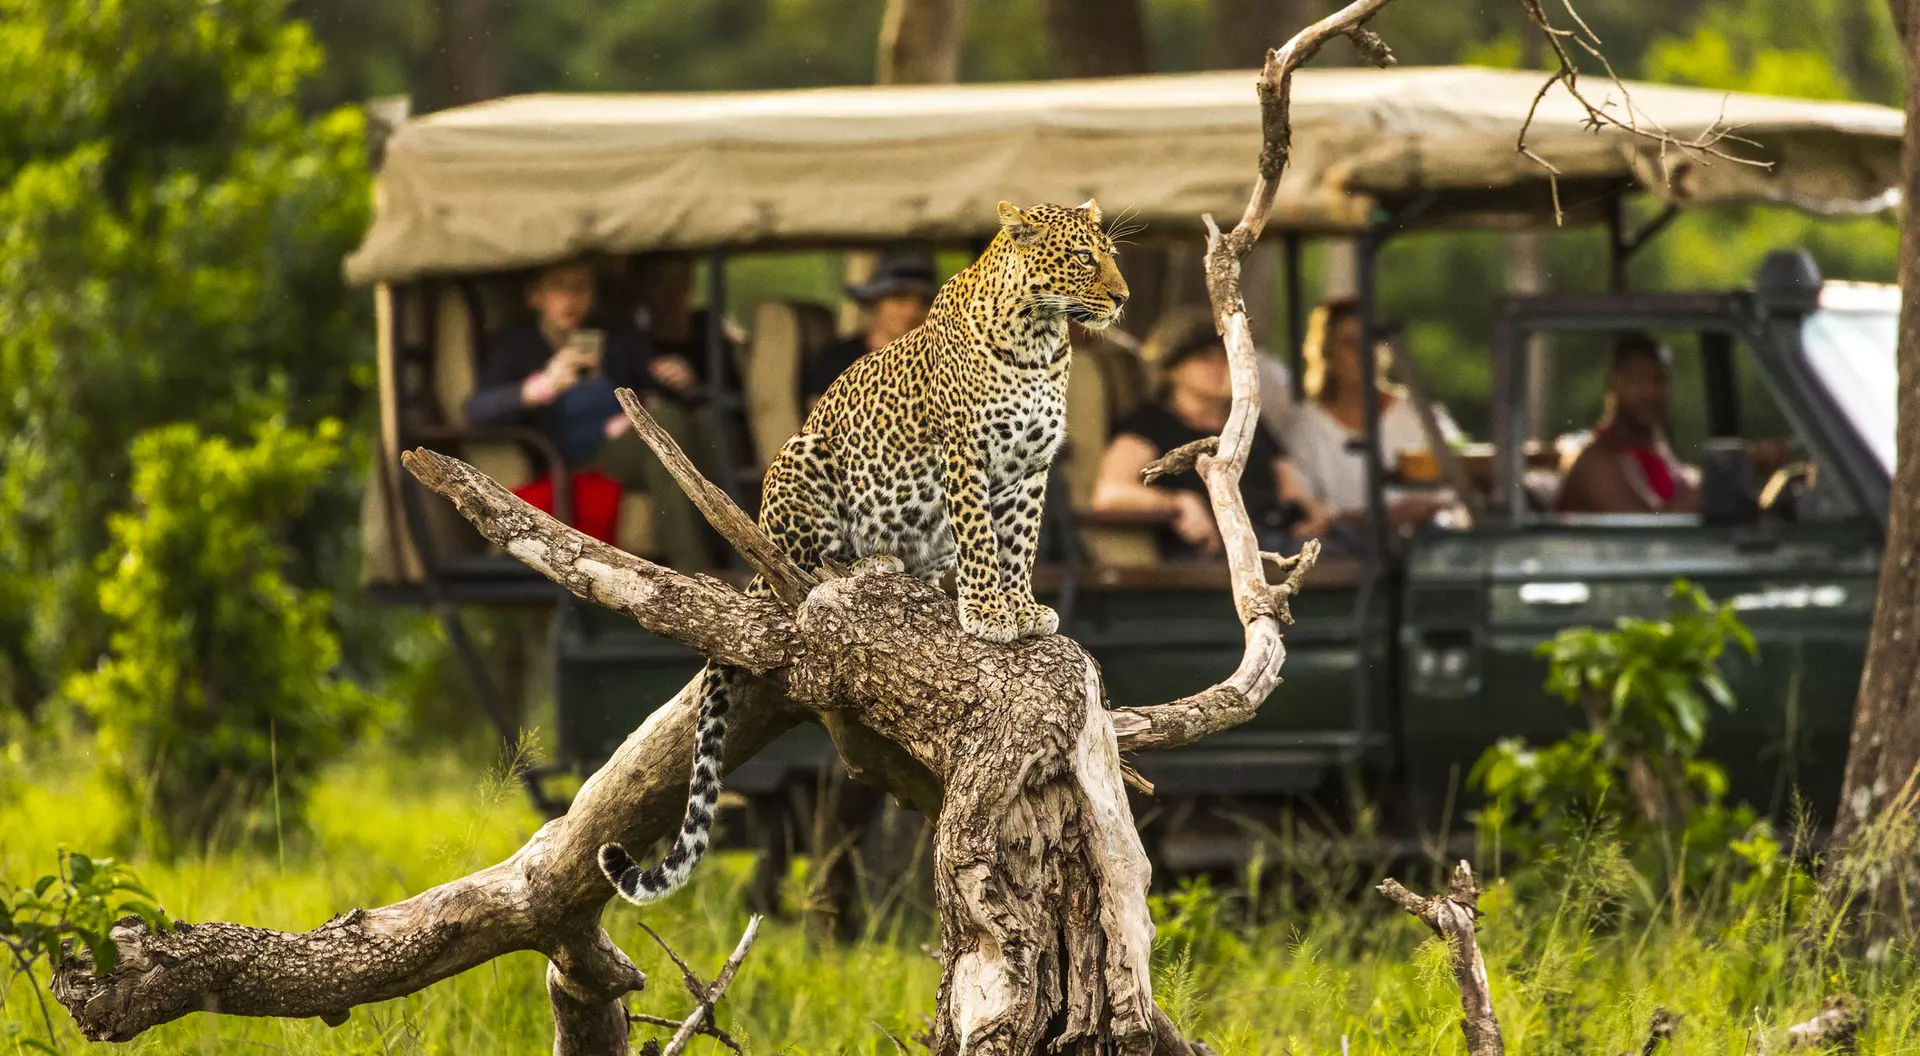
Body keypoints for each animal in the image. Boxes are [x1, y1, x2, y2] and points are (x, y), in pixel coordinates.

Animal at [600, 199, 1130, 906]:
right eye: (1081, 259)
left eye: (1111, 256)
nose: (1123, 298)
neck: (1041, 341)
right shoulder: (965, 456)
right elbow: (981, 540)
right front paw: (990, 615)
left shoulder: (1030, 471)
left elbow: (1018, 544)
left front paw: (1021, 610)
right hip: (801, 459)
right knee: (803, 568)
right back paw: (866, 566)